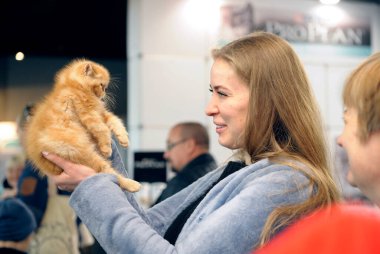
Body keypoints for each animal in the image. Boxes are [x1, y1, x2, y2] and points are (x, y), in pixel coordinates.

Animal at [25, 59, 141, 192]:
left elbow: (116, 121)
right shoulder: (88, 112)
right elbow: (103, 129)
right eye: (102, 85)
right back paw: (132, 184)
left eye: (105, 87)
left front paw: (124, 140)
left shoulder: (101, 113)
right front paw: (107, 149)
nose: (104, 93)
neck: (74, 86)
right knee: (108, 172)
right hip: (81, 152)